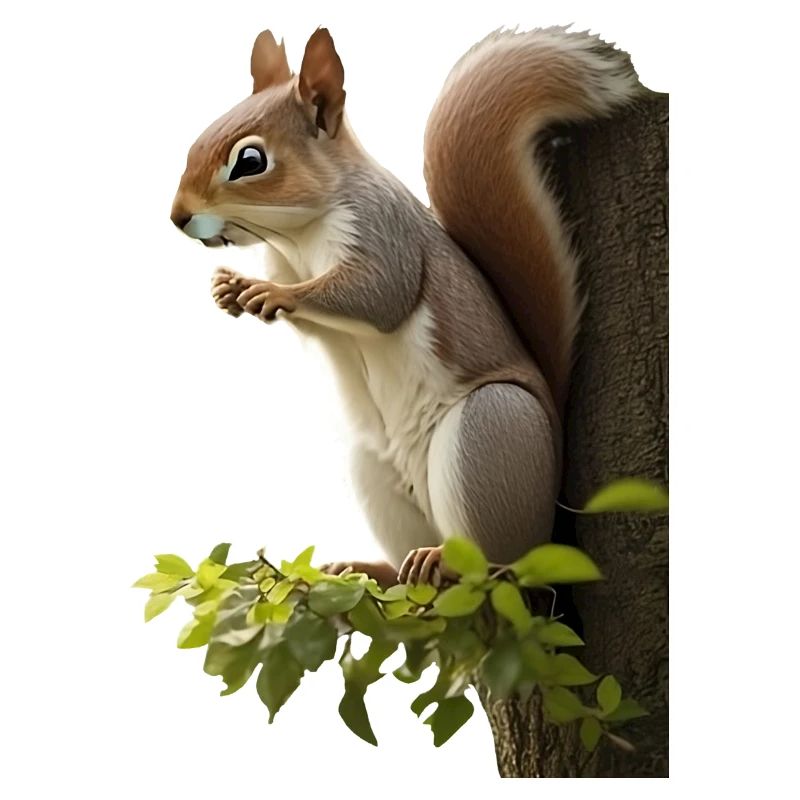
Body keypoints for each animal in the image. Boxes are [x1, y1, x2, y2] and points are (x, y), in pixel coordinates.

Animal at [170, 26, 642, 588]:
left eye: (250, 162)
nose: (177, 217)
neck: (298, 237)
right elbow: (316, 327)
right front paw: (231, 289)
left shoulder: (383, 230)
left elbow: (379, 295)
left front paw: (270, 292)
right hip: (375, 471)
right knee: (406, 560)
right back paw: (376, 568)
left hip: (494, 433)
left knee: (499, 562)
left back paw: (457, 562)